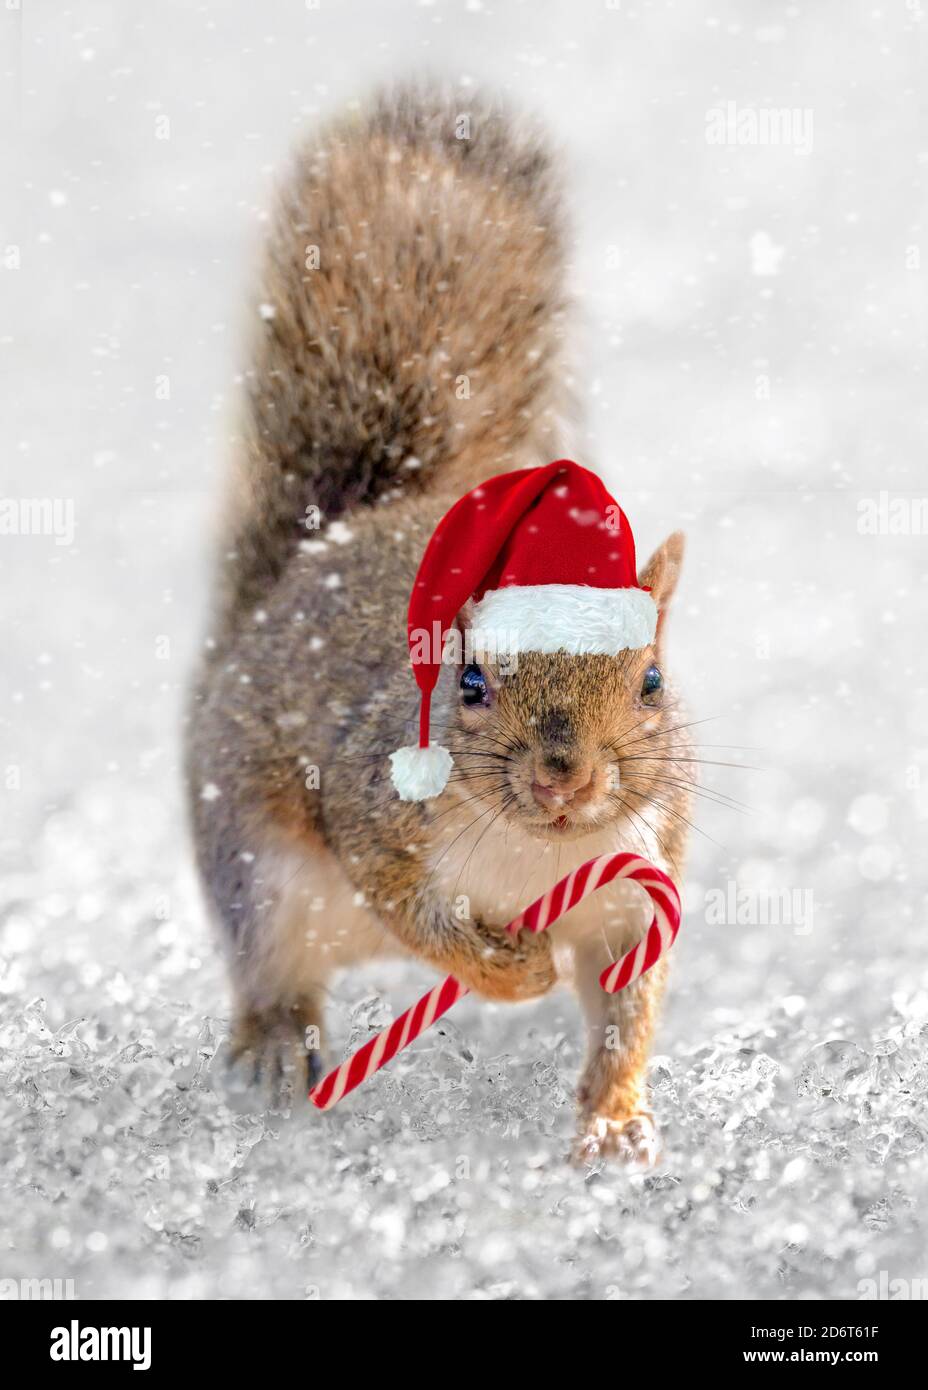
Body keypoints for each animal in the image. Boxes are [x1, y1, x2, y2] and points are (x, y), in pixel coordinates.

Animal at [184, 86, 689, 1162]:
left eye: (652, 682)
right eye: (470, 683)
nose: (564, 776)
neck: (535, 856)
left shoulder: (638, 886)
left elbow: (628, 1010)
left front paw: (615, 1119)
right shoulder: (374, 822)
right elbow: (426, 921)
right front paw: (520, 970)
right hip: (260, 873)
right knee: (271, 969)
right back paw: (274, 1046)